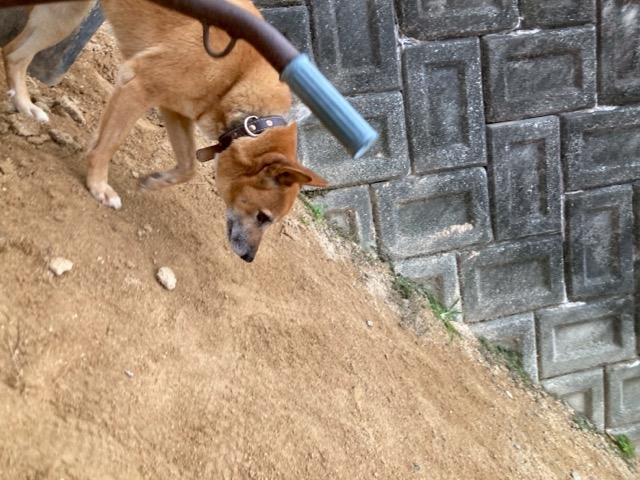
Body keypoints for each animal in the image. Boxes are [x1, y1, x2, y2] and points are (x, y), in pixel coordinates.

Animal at [2, 0, 328, 262]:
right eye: (263, 217)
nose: (249, 258)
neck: (239, 78)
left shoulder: (176, 110)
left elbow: (188, 166)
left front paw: (155, 181)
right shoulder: (138, 86)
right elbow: (109, 145)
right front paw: (98, 186)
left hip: (63, 15)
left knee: (14, 54)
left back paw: (24, 104)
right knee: (15, 52)